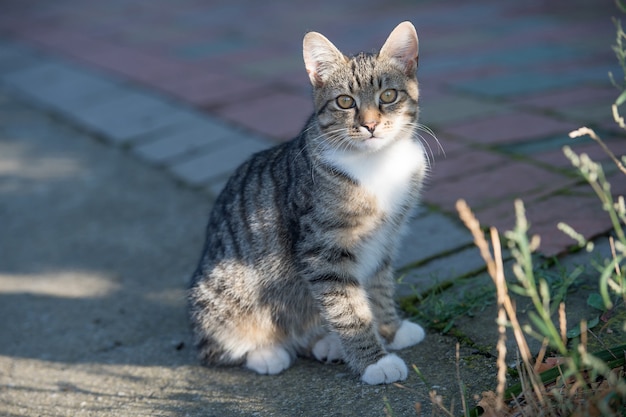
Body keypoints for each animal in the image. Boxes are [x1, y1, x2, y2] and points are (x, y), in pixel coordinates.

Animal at [188, 20, 426, 384]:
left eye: (388, 96)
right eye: (345, 101)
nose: (370, 125)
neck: (376, 162)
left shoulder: (385, 240)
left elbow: (379, 286)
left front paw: (392, 329)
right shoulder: (323, 251)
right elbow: (348, 309)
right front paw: (374, 361)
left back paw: (325, 343)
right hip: (223, 294)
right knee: (216, 346)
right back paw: (268, 353)